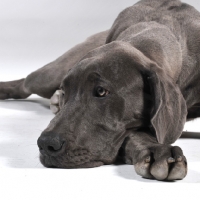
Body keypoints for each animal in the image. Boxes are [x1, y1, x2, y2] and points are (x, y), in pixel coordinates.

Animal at [1, 0, 200, 181]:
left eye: (101, 91)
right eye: (65, 91)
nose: (46, 144)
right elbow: (133, 134)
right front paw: (156, 150)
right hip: (48, 76)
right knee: (24, 83)